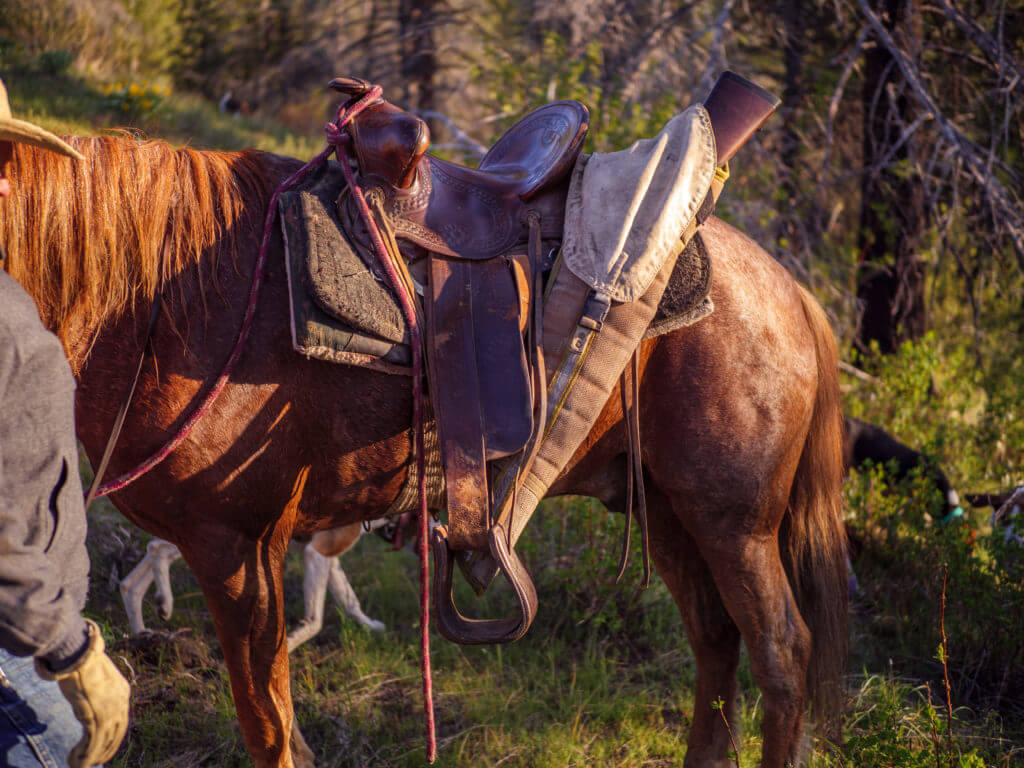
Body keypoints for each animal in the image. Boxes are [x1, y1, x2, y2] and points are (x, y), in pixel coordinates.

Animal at [0, 135, 847, 765]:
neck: (167, 302)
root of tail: (792, 291)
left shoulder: (237, 546)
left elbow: (268, 725)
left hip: (734, 524)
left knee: (781, 652)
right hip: (669, 512)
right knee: (716, 640)